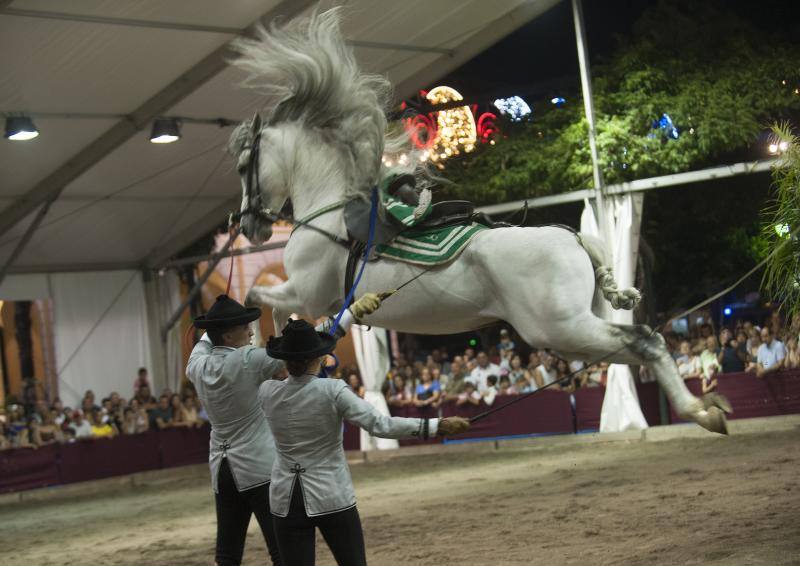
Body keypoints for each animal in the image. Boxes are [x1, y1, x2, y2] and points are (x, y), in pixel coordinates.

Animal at [227, 7, 732, 434]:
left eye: (244, 166)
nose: (250, 226)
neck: (328, 212)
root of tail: (572, 239)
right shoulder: (316, 298)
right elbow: (270, 303)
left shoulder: (310, 294)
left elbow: (261, 298)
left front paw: (265, 344)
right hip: (572, 331)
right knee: (638, 346)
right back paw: (705, 410)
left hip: (559, 328)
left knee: (645, 340)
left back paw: (700, 411)